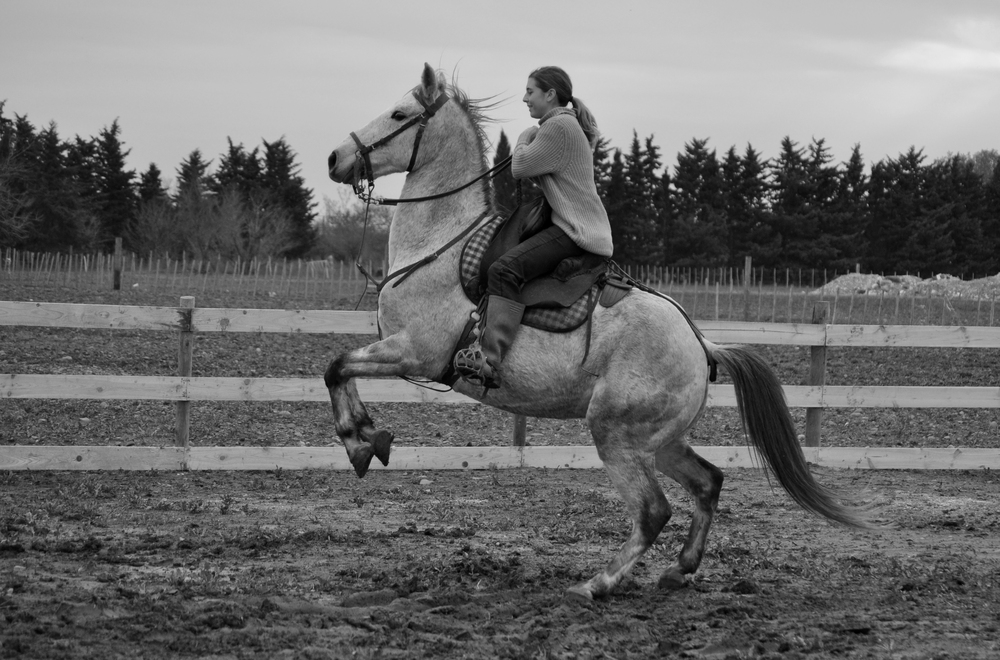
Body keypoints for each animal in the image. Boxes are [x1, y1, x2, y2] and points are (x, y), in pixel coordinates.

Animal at [322, 64, 868, 600]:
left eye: (400, 114)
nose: (335, 157)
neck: (441, 246)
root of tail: (700, 343)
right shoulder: (405, 353)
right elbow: (339, 370)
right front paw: (368, 439)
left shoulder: (415, 353)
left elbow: (336, 367)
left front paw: (360, 440)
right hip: (659, 442)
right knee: (708, 483)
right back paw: (679, 569)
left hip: (616, 435)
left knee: (654, 511)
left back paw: (597, 583)